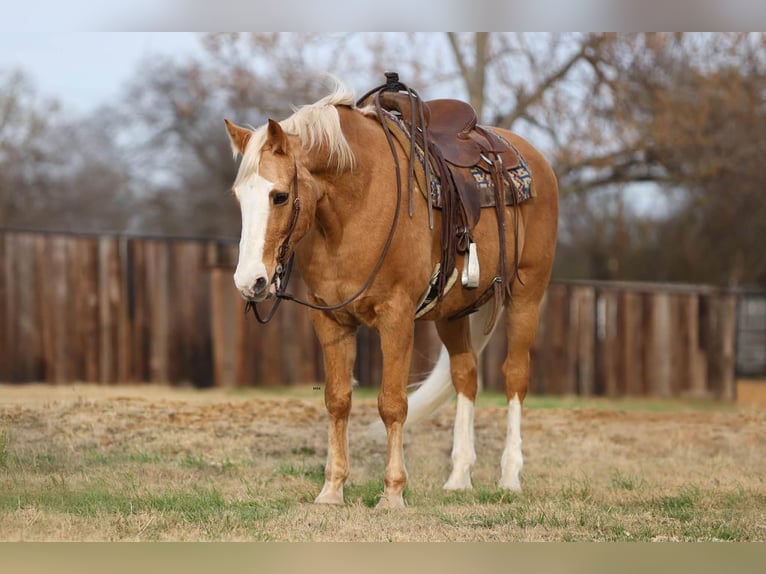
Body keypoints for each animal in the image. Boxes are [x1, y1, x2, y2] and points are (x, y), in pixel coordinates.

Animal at [224, 79, 558, 509]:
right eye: (239, 197)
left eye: (280, 196)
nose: (250, 281)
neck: (355, 205)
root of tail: (532, 156)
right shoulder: (329, 318)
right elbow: (338, 400)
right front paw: (332, 489)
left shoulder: (396, 317)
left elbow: (392, 403)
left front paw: (393, 493)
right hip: (451, 313)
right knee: (465, 376)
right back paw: (459, 477)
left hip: (527, 295)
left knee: (515, 376)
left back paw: (511, 476)